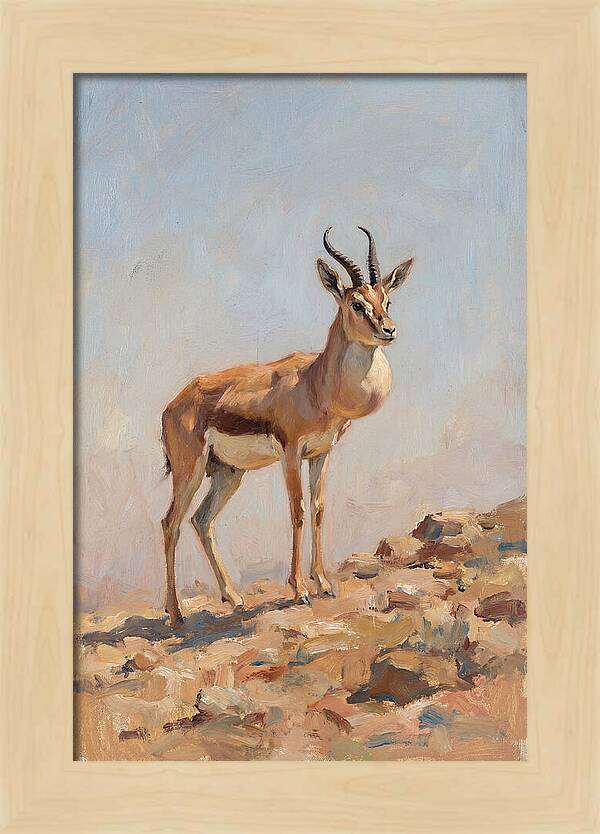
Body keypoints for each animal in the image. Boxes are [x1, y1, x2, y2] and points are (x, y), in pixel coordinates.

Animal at [161, 227, 414, 625]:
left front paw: (323, 583)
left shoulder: (322, 453)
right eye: (356, 304)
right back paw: (176, 614)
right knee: (170, 524)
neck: (315, 383)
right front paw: (299, 590)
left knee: (201, 521)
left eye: (386, 298)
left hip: (228, 473)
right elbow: (297, 511)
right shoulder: (291, 453)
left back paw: (234, 599)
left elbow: (319, 510)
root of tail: (173, 405)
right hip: (190, 470)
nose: (389, 330)